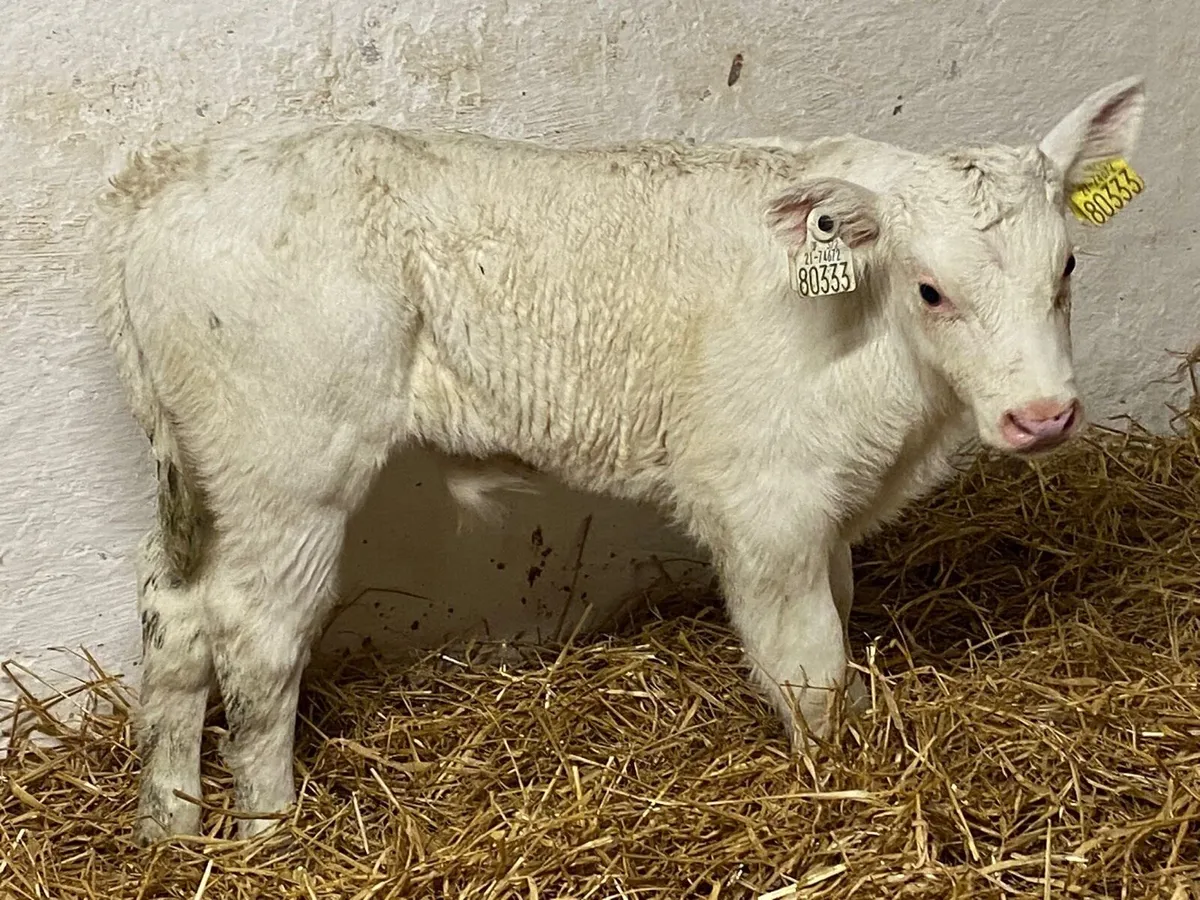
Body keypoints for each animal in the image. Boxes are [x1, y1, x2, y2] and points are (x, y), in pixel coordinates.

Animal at [90, 77, 1145, 844]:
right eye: (930, 289)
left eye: (1069, 267)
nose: (1043, 417)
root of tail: (164, 183)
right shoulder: (762, 501)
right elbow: (810, 665)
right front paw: (839, 788)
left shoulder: (825, 503)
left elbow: (839, 620)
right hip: (291, 467)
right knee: (256, 636)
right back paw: (269, 831)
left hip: (204, 469)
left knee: (174, 612)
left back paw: (170, 827)